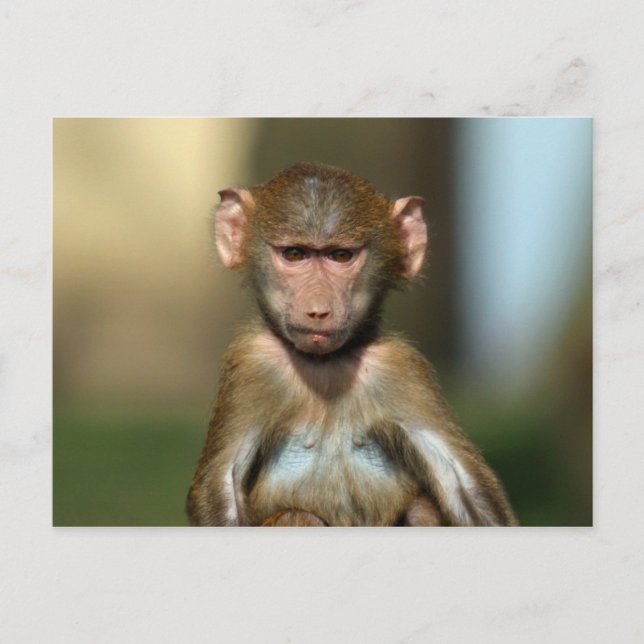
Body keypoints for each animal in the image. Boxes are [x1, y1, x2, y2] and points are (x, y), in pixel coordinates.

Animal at [187, 162, 517, 527]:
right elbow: (222, 486)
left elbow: (465, 487)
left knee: (421, 507)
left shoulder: (400, 366)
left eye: (341, 255)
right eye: (295, 254)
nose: (318, 310)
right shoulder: (251, 363)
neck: (325, 363)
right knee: (298, 517)